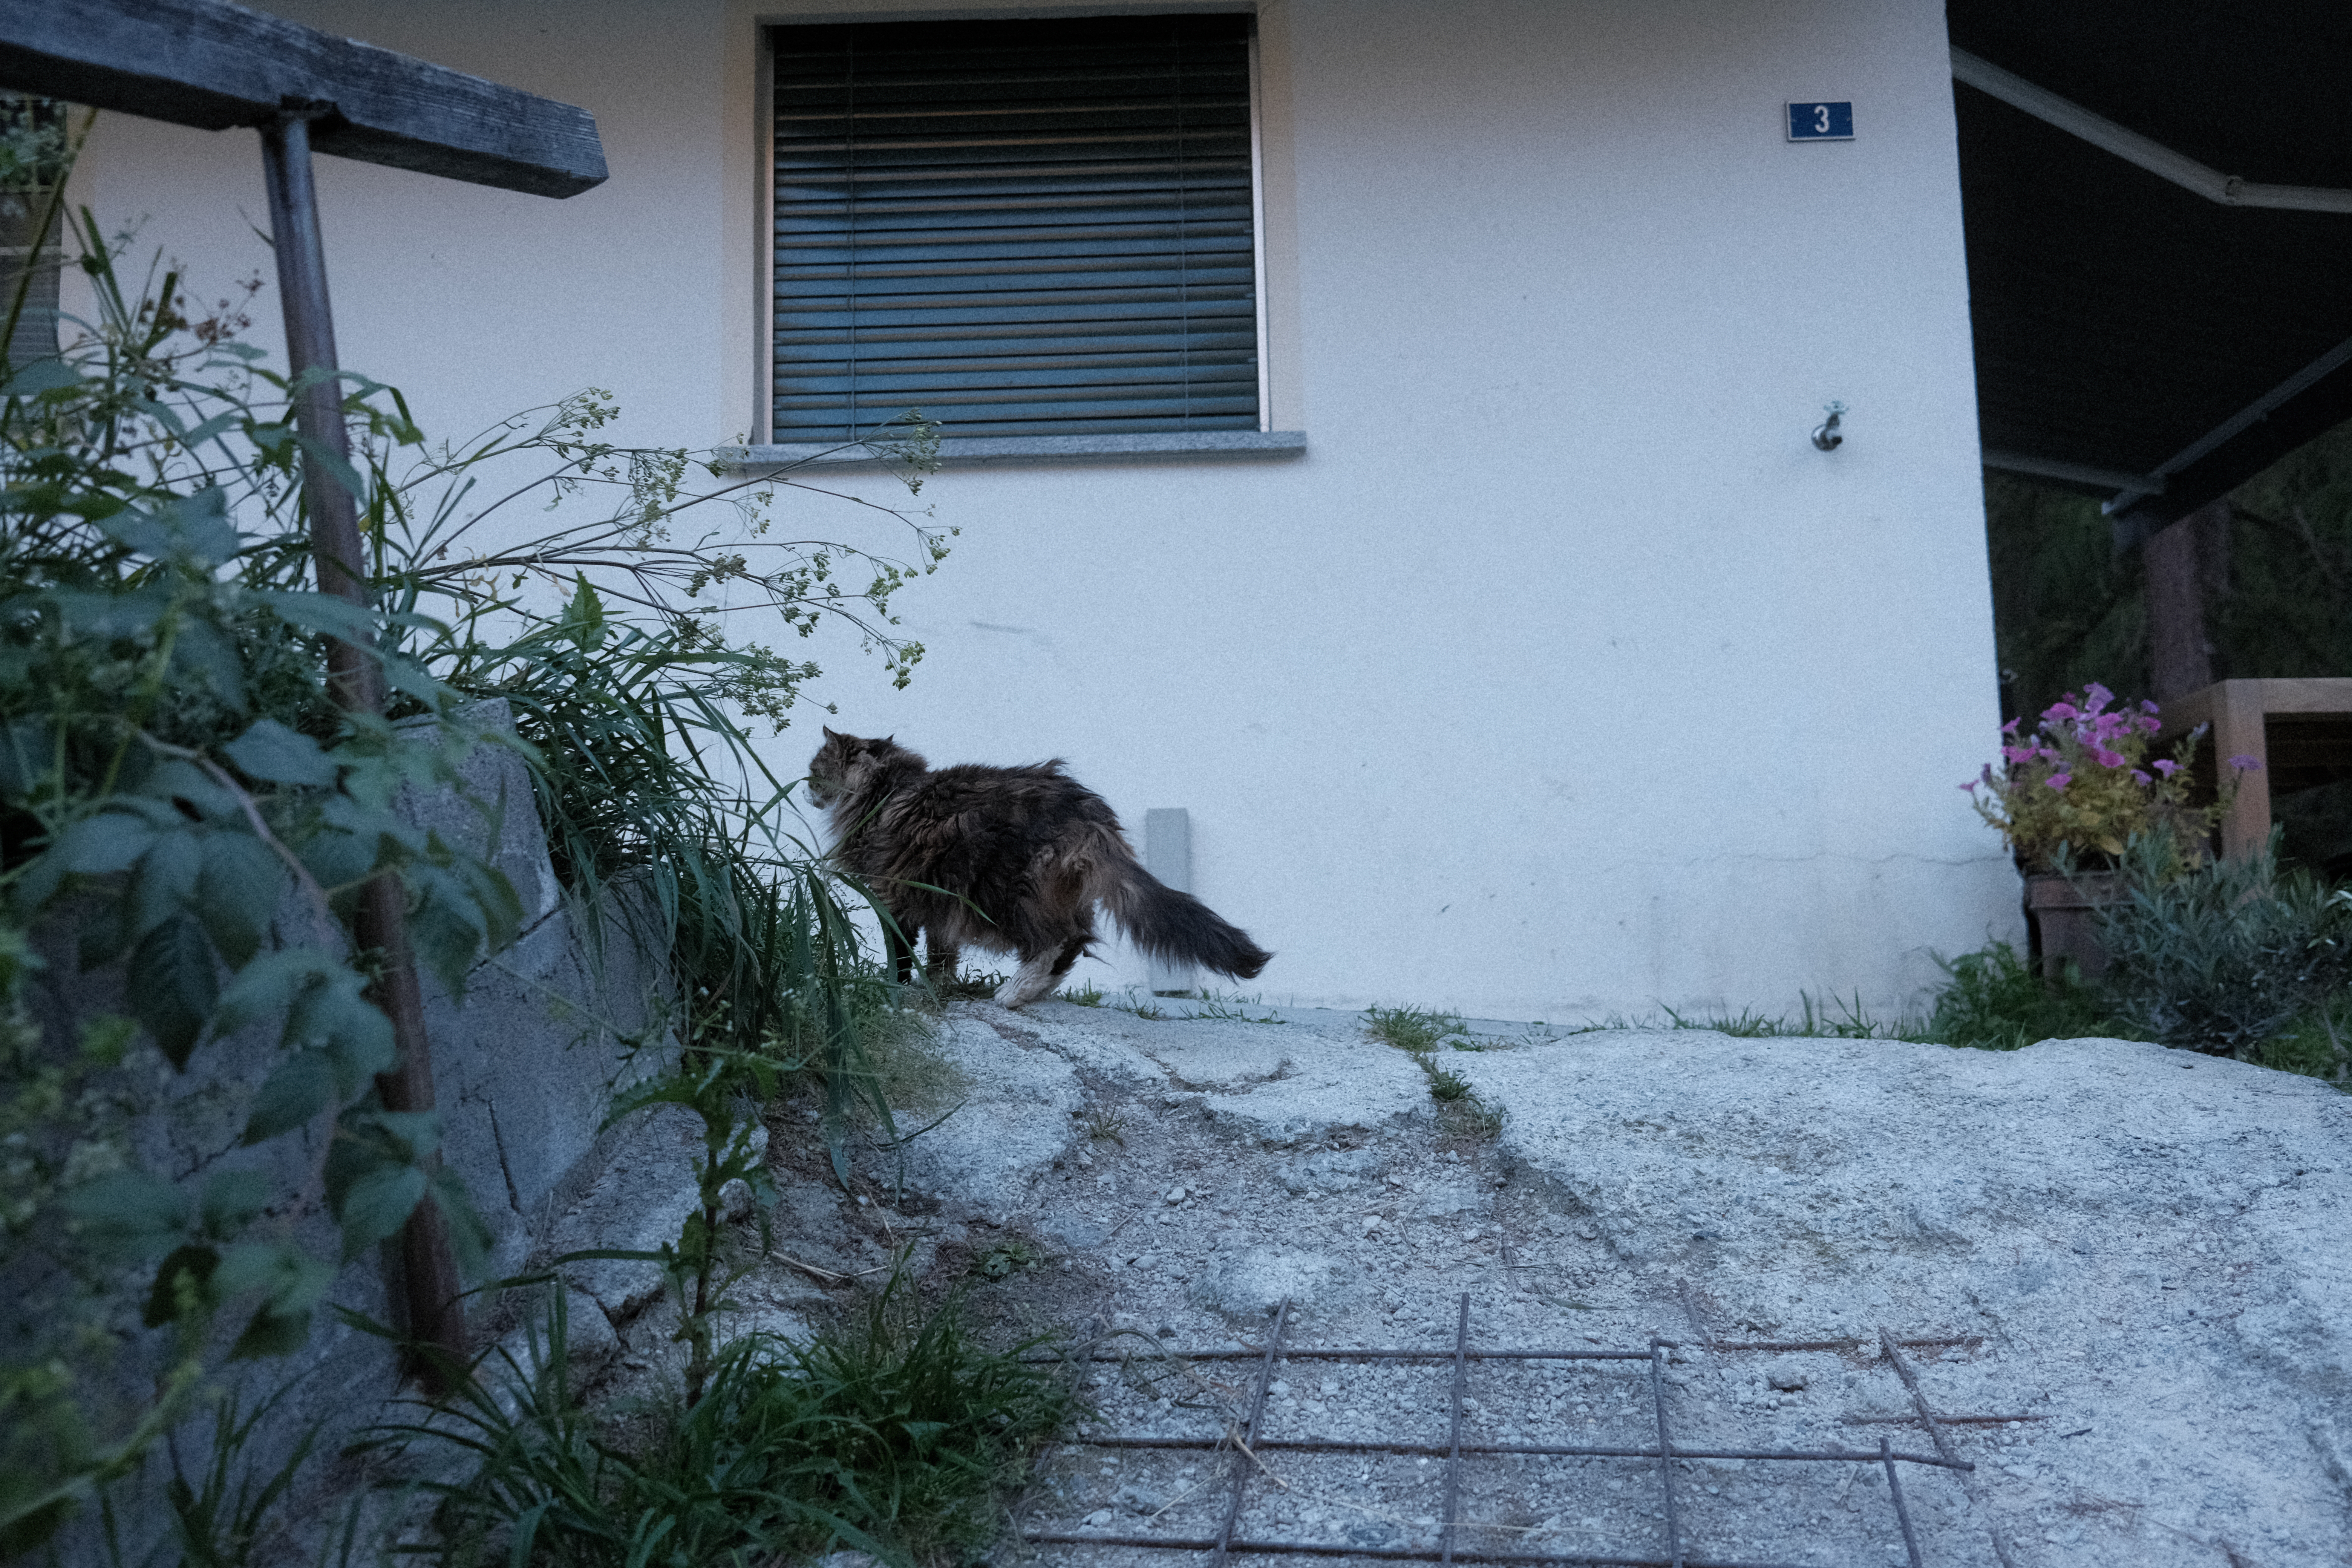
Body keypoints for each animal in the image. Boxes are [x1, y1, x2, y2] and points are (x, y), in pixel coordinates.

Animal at [809, 729, 1279, 1011]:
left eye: (815, 771)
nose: (806, 787)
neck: (886, 790)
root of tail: (1084, 809)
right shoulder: (938, 899)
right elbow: (943, 954)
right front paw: (937, 986)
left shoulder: (894, 894)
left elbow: (901, 952)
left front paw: (897, 987)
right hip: (1050, 891)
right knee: (1073, 943)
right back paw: (1033, 991)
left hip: (1003, 890)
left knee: (1054, 941)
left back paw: (1012, 994)